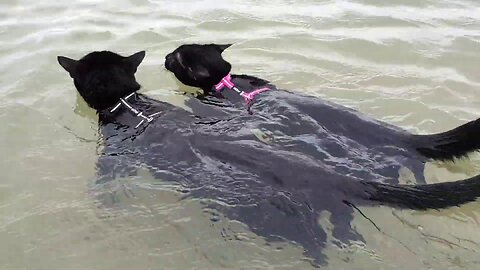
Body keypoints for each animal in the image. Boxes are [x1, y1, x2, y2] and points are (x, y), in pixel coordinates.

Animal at [59, 50, 480, 266]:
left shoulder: (116, 154)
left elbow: (105, 179)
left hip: (275, 223)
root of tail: (325, 173)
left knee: (316, 243)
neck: (132, 106)